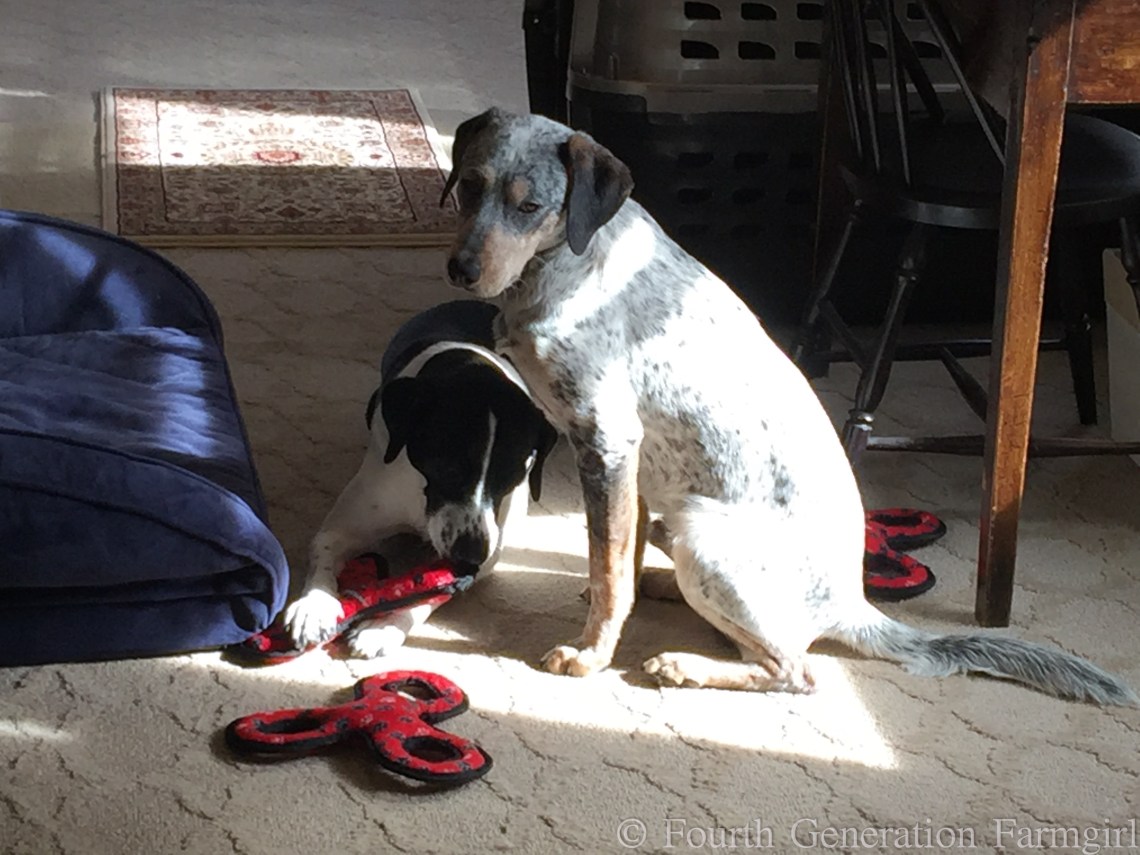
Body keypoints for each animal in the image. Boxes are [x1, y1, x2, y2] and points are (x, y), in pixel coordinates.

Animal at [284, 299, 557, 658]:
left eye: (514, 477)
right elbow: (325, 553)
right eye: (447, 465)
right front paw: (314, 608)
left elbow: (432, 593)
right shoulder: (346, 524)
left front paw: (384, 627)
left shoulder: (486, 552)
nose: (470, 555)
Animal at [438, 106, 1138, 706]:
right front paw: (613, 605)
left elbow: (610, 572)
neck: (556, 268)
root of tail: (853, 606)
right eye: (469, 187)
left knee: (796, 671)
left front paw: (590, 655)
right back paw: (668, 596)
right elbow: (620, 558)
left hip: (704, 534)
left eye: (531, 206)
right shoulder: (623, 463)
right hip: (681, 524)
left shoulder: (607, 442)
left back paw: (684, 665)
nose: (460, 270)